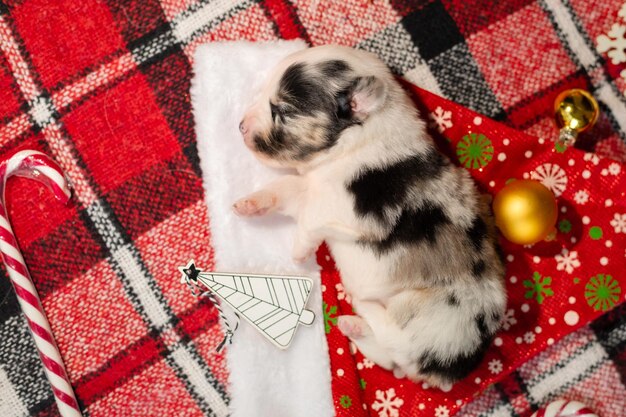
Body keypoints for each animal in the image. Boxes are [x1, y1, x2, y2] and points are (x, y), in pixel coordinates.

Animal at [232, 44, 504, 386]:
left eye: (282, 110)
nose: (240, 125)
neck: (353, 145)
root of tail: (446, 369)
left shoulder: (353, 212)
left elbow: (311, 219)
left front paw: (299, 252)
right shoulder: (313, 187)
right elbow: (287, 189)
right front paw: (249, 205)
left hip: (431, 315)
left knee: (399, 343)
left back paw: (363, 306)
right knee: (391, 360)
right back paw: (353, 324)